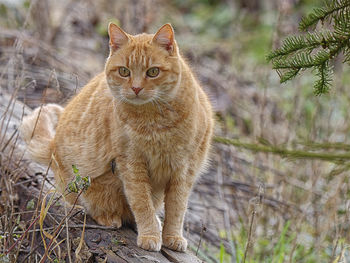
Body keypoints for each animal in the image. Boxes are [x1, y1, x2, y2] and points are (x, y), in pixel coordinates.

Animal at [21, 23, 215, 253]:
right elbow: (141, 203)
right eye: (124, 71)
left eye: (153, 72)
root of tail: (53, 146)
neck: (155, 123)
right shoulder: (132, 165)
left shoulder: (184, 170)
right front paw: (150, 235)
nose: (136, 88)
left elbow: (177, 208)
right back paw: (110, 217)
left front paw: (172, 236)